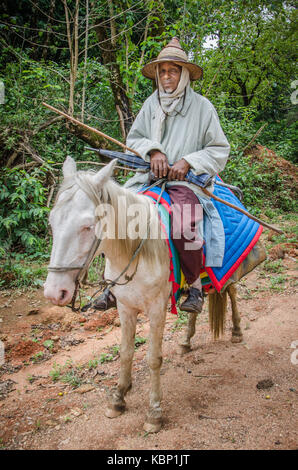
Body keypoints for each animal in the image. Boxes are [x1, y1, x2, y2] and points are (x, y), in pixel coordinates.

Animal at [44, 155, 249, 434]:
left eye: (87, 226)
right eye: (52, 222)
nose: (55, 293)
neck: (133, 252)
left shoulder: (156, 309)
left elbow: (153, 358)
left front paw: (154, 412)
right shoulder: (125, 307)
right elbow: (126, 352)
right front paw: (119, 397)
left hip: (227, 271)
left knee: (232, 293)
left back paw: (237, 331)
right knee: (196, 303)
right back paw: (186, 339)